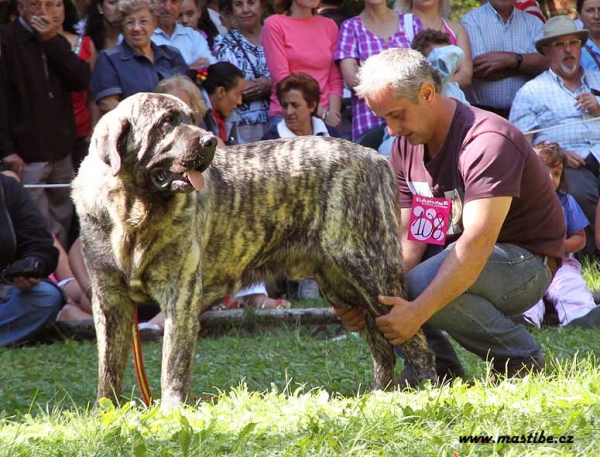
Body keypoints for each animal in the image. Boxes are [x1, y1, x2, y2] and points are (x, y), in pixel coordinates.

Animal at [74, 91, 436, 406]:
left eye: (191, 118)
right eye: (166, 122)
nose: (210, 141)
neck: (131, 214)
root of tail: (377, 158)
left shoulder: (179, 296)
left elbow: (172, 363)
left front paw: (172, 410)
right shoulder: (110, 299)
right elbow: (109, 366)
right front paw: (105, 410)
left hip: (370, 271)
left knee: (414, 338)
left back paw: (428, 393)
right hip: (341, 283)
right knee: (382, 343)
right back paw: (379, 394)